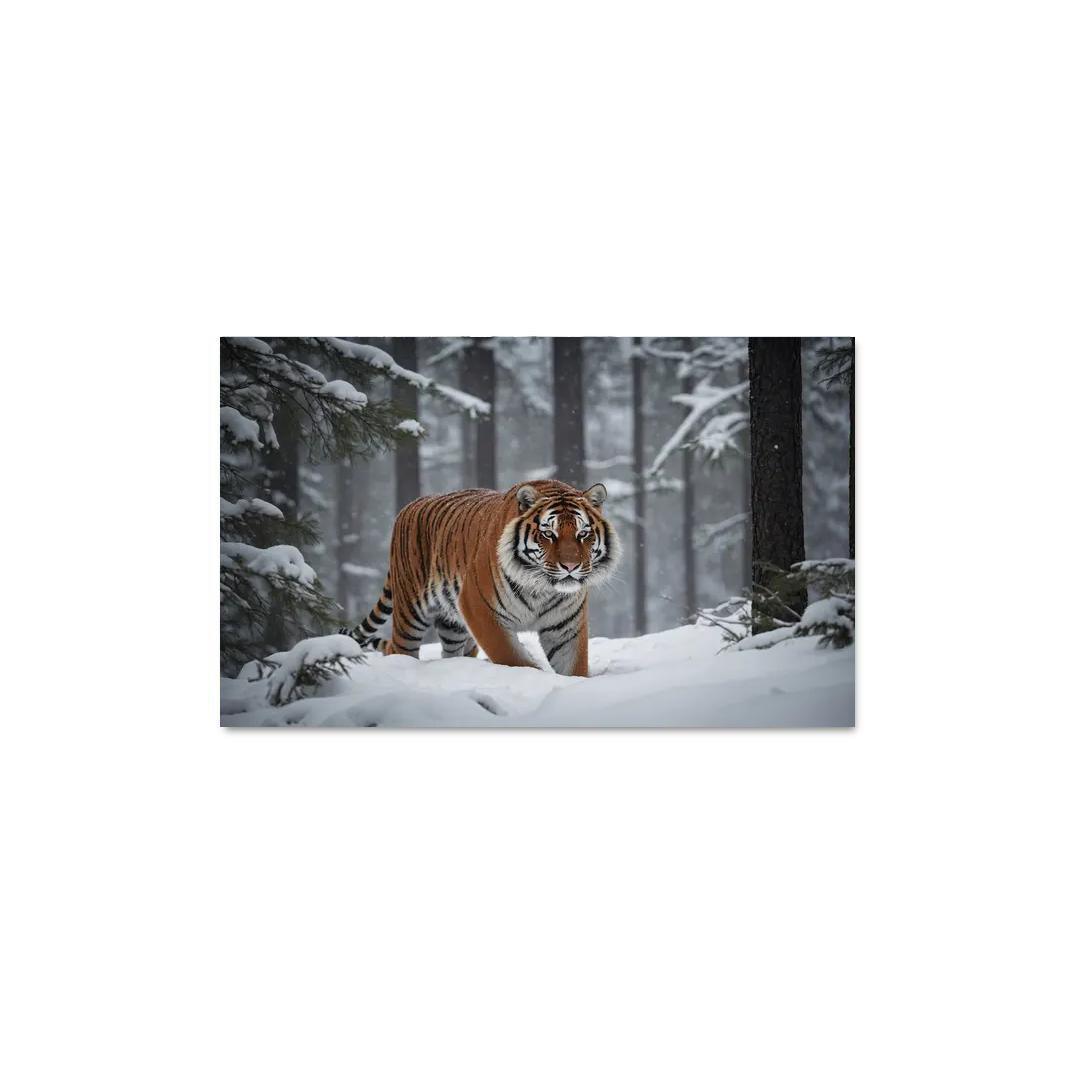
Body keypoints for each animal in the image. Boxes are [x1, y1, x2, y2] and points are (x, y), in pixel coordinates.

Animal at [343, 479, 620, 677]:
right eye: (548, 534)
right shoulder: (480, 609)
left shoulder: (566, 627)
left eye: (583, 533)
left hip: (454, 625)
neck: (541, 588)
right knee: (398, 648)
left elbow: (574, 668)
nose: (571, 566)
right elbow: (513, 659)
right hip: (410, 614)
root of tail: (408, 506)